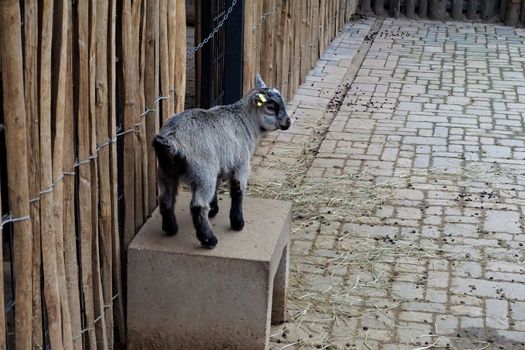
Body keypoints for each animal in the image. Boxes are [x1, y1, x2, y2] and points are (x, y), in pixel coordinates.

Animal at [151, 75, 290, 247]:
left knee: (165, 200)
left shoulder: (219, 164)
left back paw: (171, 229)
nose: (288, 122)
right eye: (270, 107)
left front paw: (213, 210)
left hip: (166, 172)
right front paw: (237, 223)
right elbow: (237, 191)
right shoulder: (241, 164)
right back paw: (209, 239)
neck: (245, 120)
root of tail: (170, 139)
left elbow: (217, 187)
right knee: (197, 206)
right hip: (203, 172)